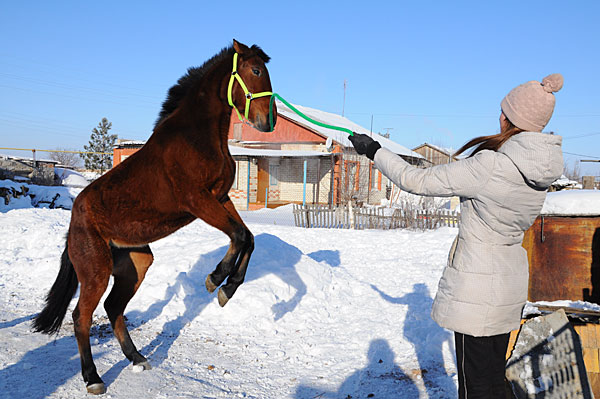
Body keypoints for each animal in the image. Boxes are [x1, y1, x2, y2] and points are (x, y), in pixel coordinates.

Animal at [32, 39, 276, 396]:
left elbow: (248, 237)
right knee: (81, 316)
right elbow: (240, 236)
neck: (198, 136)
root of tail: (75, 218)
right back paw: (93, 378)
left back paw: (137, 358)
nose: (268, 121)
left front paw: (227, 289)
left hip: (136, 263)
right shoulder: (198, 200)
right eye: (256, 70)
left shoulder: (219, 197)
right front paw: (216, 280)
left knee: (113, 308)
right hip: (96, 270)